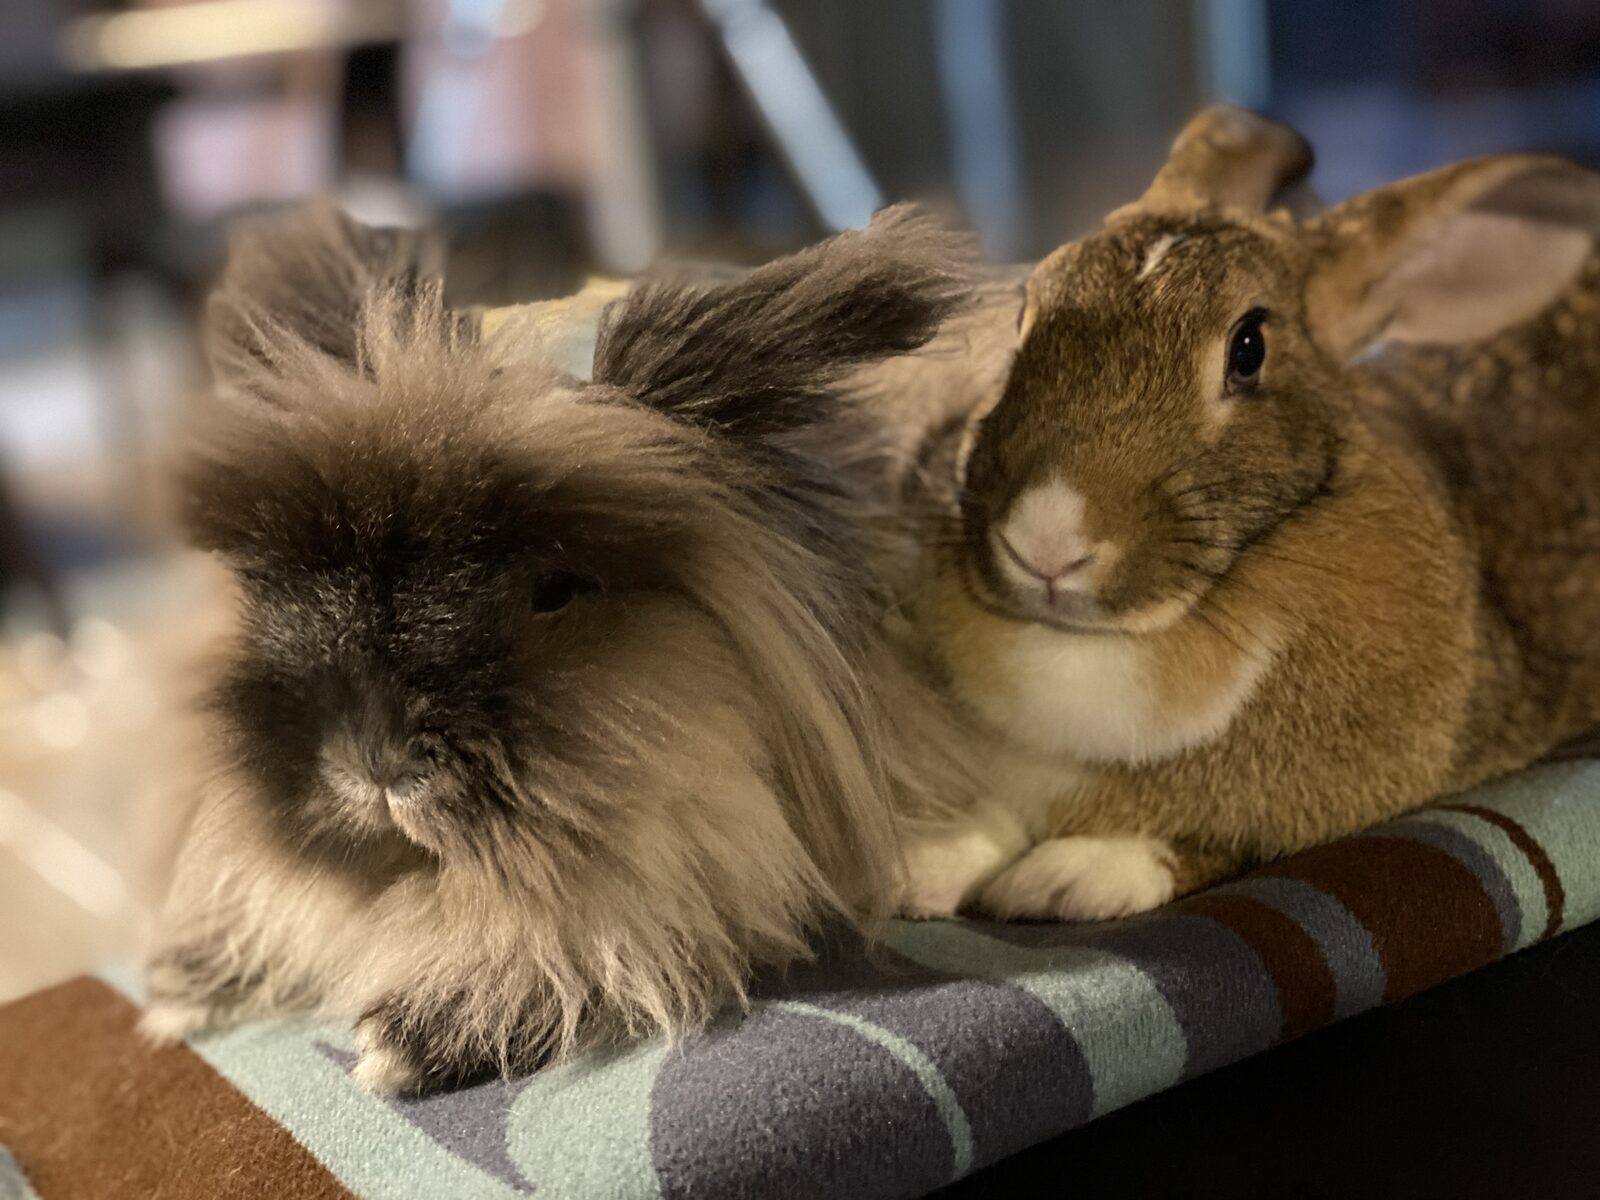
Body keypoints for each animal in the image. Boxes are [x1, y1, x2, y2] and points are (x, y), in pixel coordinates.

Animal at [140, 201, 985, 1092]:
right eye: (283, 583)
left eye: (552, 590)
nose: (375, 765)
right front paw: (182, 986)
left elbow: (599, 944)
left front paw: (406, 1042)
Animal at [900, 105, 1600, 922]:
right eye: (1024, 316)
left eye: (1248, 348)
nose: (1045, 542)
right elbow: (992, 817)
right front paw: (924, 865)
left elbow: (1209, 844)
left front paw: (1063, 882)